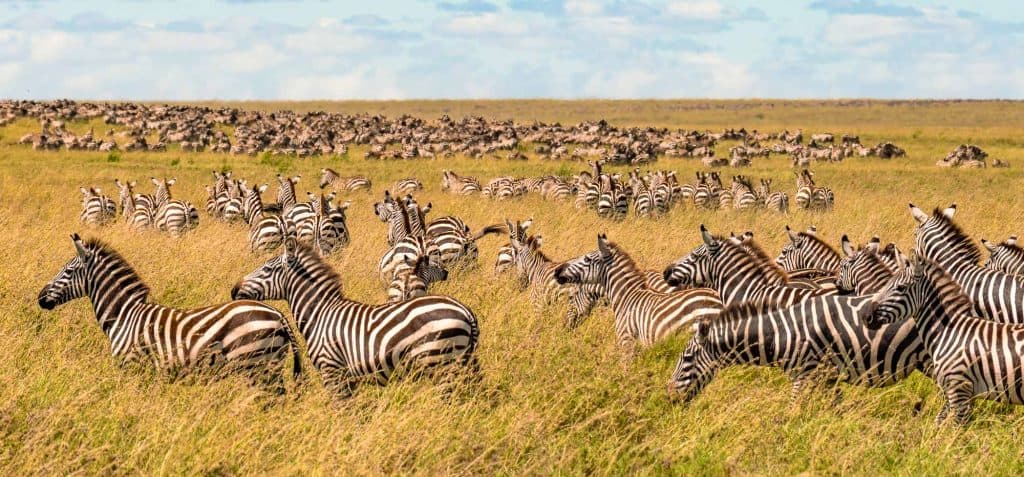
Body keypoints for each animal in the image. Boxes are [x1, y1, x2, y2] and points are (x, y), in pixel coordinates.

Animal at [38, 234, 298, 384]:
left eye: (67, 272)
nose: (40, 298)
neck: (123, 315)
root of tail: (278, 314)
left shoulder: (132, 366)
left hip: (252, 364)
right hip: (269, 366)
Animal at [231, 238, 479, 395]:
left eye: (266, 270)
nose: (234, 290)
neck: (320, 314)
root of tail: (465, 311)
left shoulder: (331, 370)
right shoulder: (348, 377)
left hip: (440, 363)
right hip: (460, 362)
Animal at [667, 292, 927, 404]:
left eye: (687, 358)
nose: (668, 398)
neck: (781, 334)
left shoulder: (803, 374)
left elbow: (793, 410)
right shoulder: (827, 377)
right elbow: (835, 408)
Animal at [868, 255, 1024, 425]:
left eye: (901, 288)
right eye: (886, 284)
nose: (866, 316)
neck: (949, 333)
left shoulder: (959, 389)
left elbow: (954, 430)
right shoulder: (956, 392)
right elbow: (940, 423)